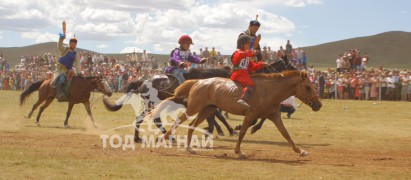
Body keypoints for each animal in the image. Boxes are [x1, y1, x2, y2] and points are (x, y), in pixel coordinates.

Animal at [150, 70, 322, 158]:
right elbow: (243, 131)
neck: (268, 90)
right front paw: (239, 151)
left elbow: (285, 133)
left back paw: (189, 148)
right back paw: (163, 140)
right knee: (178, 121)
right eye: (307, 87)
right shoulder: (251, 114)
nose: (319, 104)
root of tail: (199, 81)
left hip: (207, 110)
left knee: (192, 125)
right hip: (193, 108)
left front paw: (300, 151)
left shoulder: (274, 115)